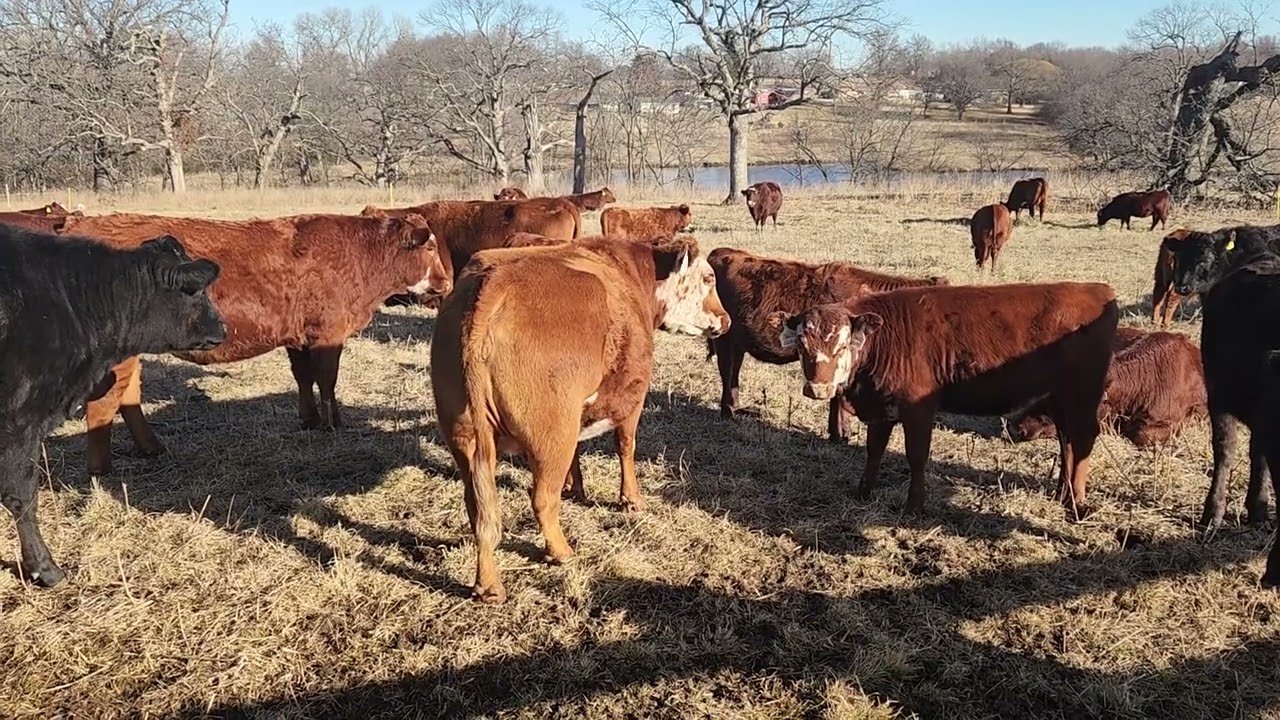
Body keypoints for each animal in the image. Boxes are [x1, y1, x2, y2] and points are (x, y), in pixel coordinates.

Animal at [59, 211, 451, 476]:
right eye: (431, 245)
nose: (446, 282)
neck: (360, 255)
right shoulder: (328, 334)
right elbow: (327, 380)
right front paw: (334, 423)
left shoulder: (299, 338)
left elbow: (303, 378)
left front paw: (309, 420)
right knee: (104, 403)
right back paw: (101, 471)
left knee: (128, 396)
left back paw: (152, 448)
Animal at [432, 235, 730, 603]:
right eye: (708, 278)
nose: (726, 319)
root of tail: (493, 284)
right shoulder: (633, 399)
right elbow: (626, 446)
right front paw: (631, 499)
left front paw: (576, 487)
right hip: (551, 434)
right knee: (543, 499)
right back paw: (560, 551)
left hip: (466, 438)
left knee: (480, 511)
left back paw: (489, 585)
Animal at [706, 247, 948, 442]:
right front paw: (839, 434)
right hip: (724, 340)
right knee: (727, 373)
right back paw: (729, 413)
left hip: (737, 343)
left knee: (733, 375)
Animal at [770, 282, 1118, 514]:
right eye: (801, 344)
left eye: (842, 345)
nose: (818, 389)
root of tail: (1099, 291)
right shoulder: (882, 407)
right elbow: (874, 450)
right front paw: (863, 491)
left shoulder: (918, 409)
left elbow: (916, 456)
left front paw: (914, 505)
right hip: (1061, 399)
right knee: (1066, 441)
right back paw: (1061, 493)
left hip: (1083, 395)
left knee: (1082, 440)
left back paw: (1077, 501)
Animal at [1170, 224, 1280, 531]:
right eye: (1179, 258)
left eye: (1205, 260)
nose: (1182, 286)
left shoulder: (1220, 395)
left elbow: (1230, 450)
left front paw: (1217, 511)